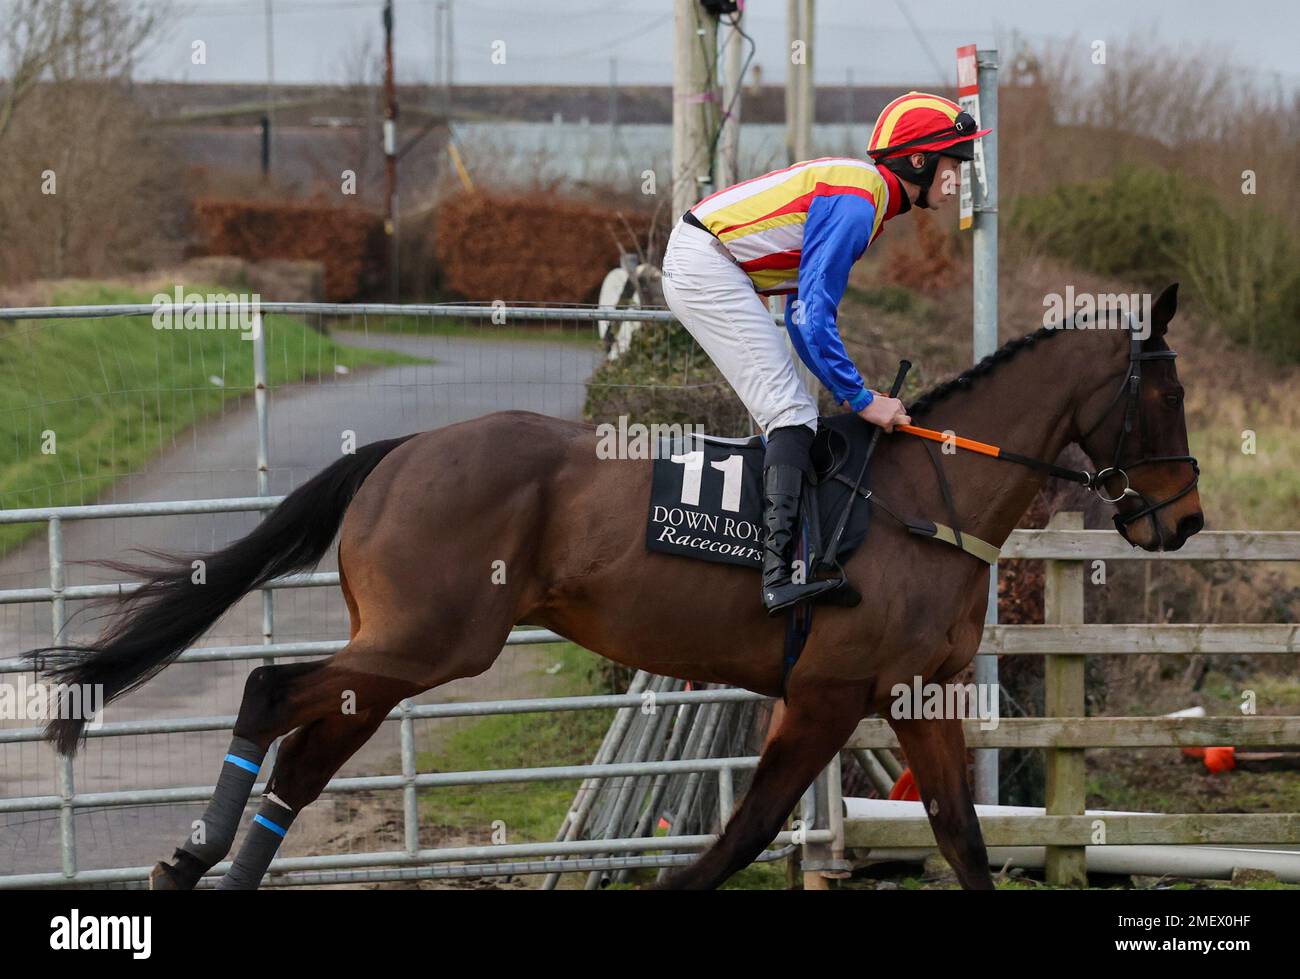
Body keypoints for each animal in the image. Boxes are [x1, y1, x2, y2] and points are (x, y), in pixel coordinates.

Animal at [25, 280, 1201, 884]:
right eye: (1164, 397)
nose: (1183, 517)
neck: (927, 493)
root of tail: (402, 450)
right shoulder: (827, 693)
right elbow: (741, 834)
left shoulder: (916, 694)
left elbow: (960, 834)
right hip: (428, 642)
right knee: (271, 688)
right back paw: (191, 852)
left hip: (402, 655)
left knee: (304, 759)